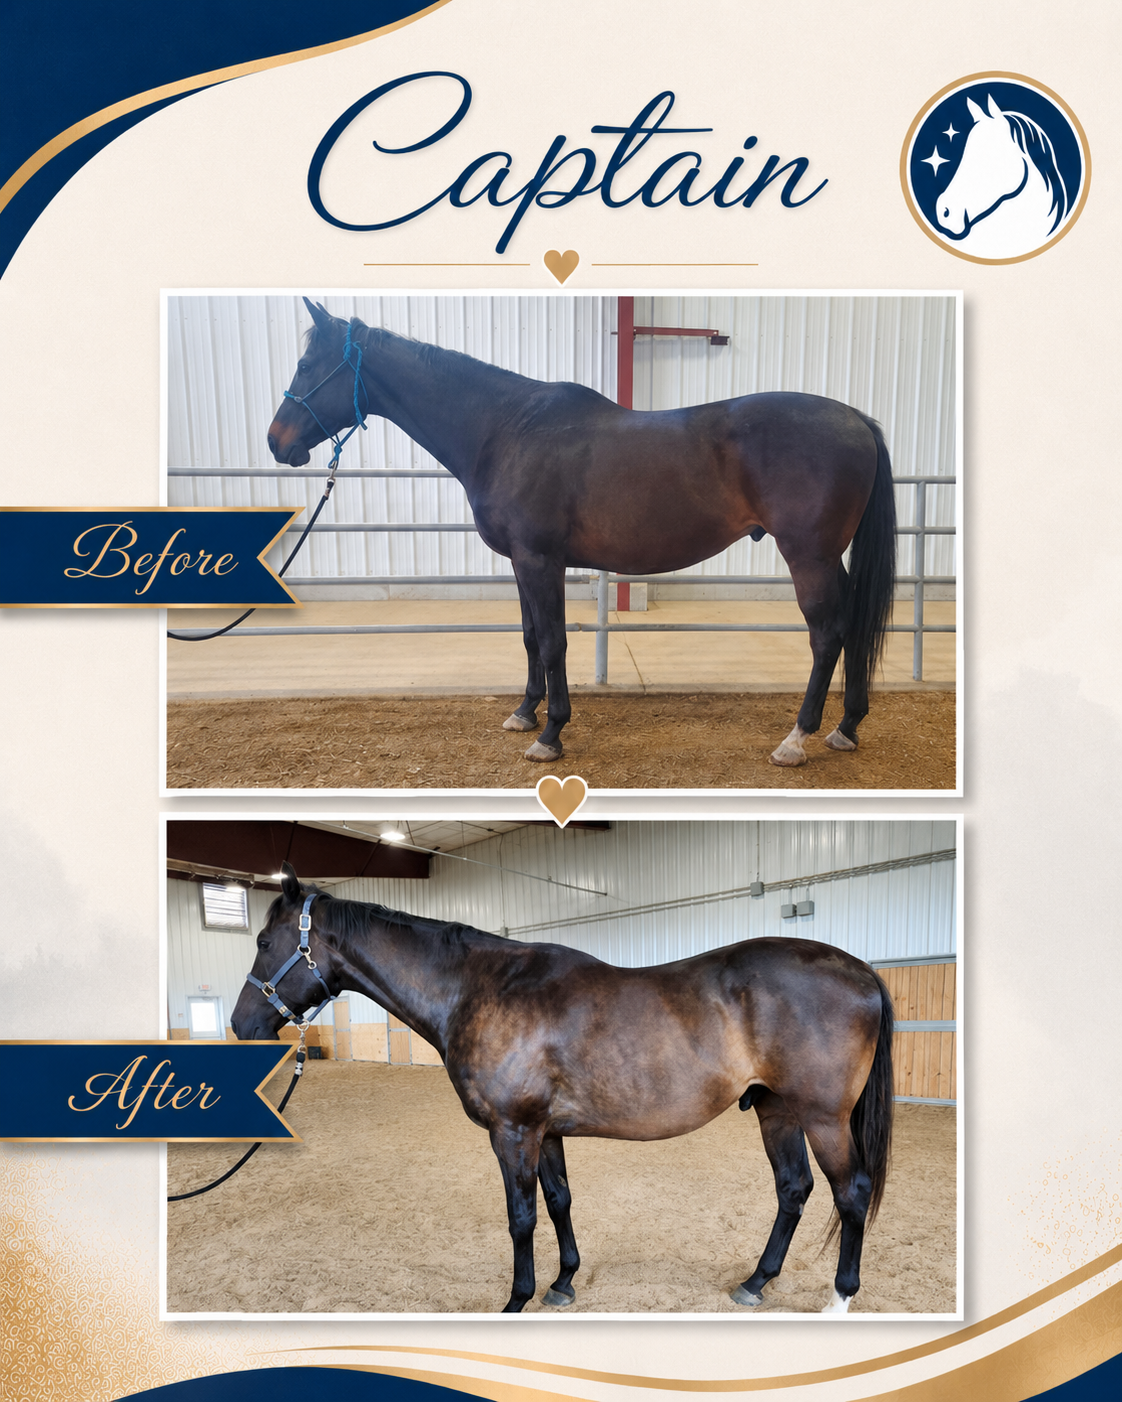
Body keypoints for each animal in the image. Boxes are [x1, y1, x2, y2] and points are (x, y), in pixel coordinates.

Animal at [230, 863, 895, 1314]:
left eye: (264, 943)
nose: (242, 1025)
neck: (480, 988)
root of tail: (861, 971)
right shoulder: (543, 1131)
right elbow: (558, 1202)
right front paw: (563, 1282)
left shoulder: (512, 1131)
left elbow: (521, 1216)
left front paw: (517, 1298)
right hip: (777, 1112)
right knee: (794, 1189)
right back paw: (756, 1282)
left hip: (823, 1118)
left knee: (851, 1193)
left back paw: (840, 1298)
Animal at [266, 299, 897, 769]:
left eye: (307, 365)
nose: (276, 441)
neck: (504, 429)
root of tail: (859, 421)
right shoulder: (521, 562)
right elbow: (528, 638)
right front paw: (524, 712)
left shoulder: (541, 559)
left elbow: (552, 642)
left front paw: (550, 736)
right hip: (829, 557)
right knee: (851, 626)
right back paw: (846, 726)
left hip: (809, 556)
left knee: (827, 635)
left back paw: (797, 739)